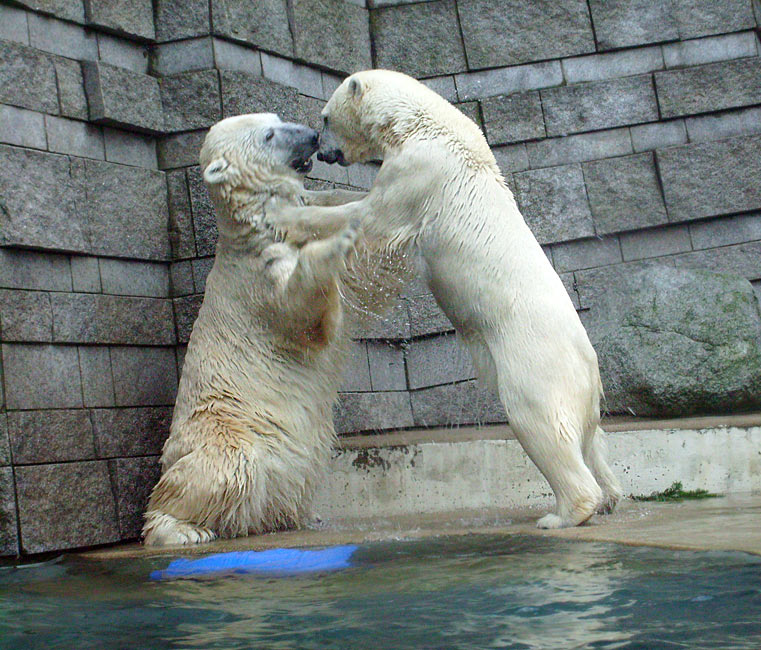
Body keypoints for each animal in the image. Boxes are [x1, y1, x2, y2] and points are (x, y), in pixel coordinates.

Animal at [143, 114, 372, 544]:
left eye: (278, 119)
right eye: (268, 135)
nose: (313, 136)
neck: (258, 228)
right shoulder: (259, 278)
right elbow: (305, 315)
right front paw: (334, 243)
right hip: (229, 427)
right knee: (224, 469)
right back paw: (180, 530)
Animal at [264, 69, 620, 528]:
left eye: (325, 118)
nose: (322, 151)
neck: (425, 125)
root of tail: (590, 369)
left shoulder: (420, 171)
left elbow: (369, 216)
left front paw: (283, 210)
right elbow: (355, 201)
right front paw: (308, 194)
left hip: (534, 360)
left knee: (538, 421)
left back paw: (563, 513)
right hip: (580, 388)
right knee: (591, 439)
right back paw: (609, 496)